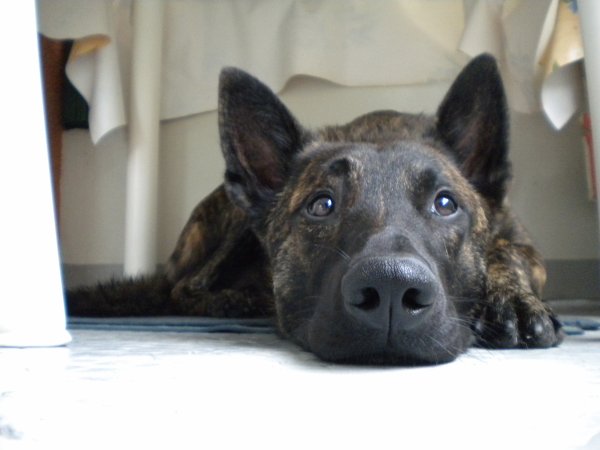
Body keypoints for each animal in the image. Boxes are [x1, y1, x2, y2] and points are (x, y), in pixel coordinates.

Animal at [68, 54, 563, 365]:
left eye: (445, 204)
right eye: (321, 205)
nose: (390, 291)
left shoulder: (525, 246)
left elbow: (507, 252)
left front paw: (512, 301)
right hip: (230, 227)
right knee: (183, 289)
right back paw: (240, 299)